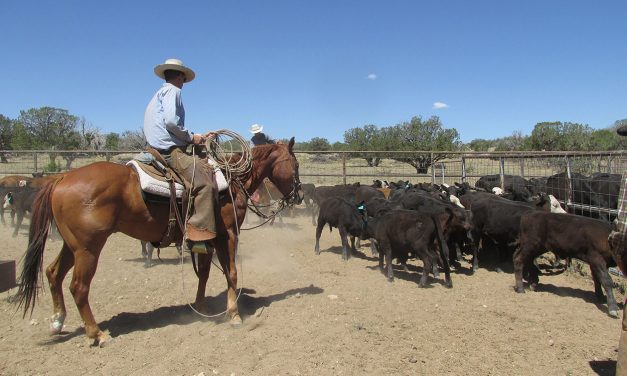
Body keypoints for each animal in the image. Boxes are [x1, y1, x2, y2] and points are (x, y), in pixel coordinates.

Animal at [16, 138, 302, 346]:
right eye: (296, 165)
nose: (298, 195)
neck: (231, 180)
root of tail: (62, 178)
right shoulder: (228, 234)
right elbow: (230, 272)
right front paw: (233, 314)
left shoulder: (206, 236)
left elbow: (204, 273)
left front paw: (200, 306)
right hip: (88, 248)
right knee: (78, 287)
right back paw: (97, 334)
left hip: (71, 245)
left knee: (53, 273)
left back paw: (57, 322)